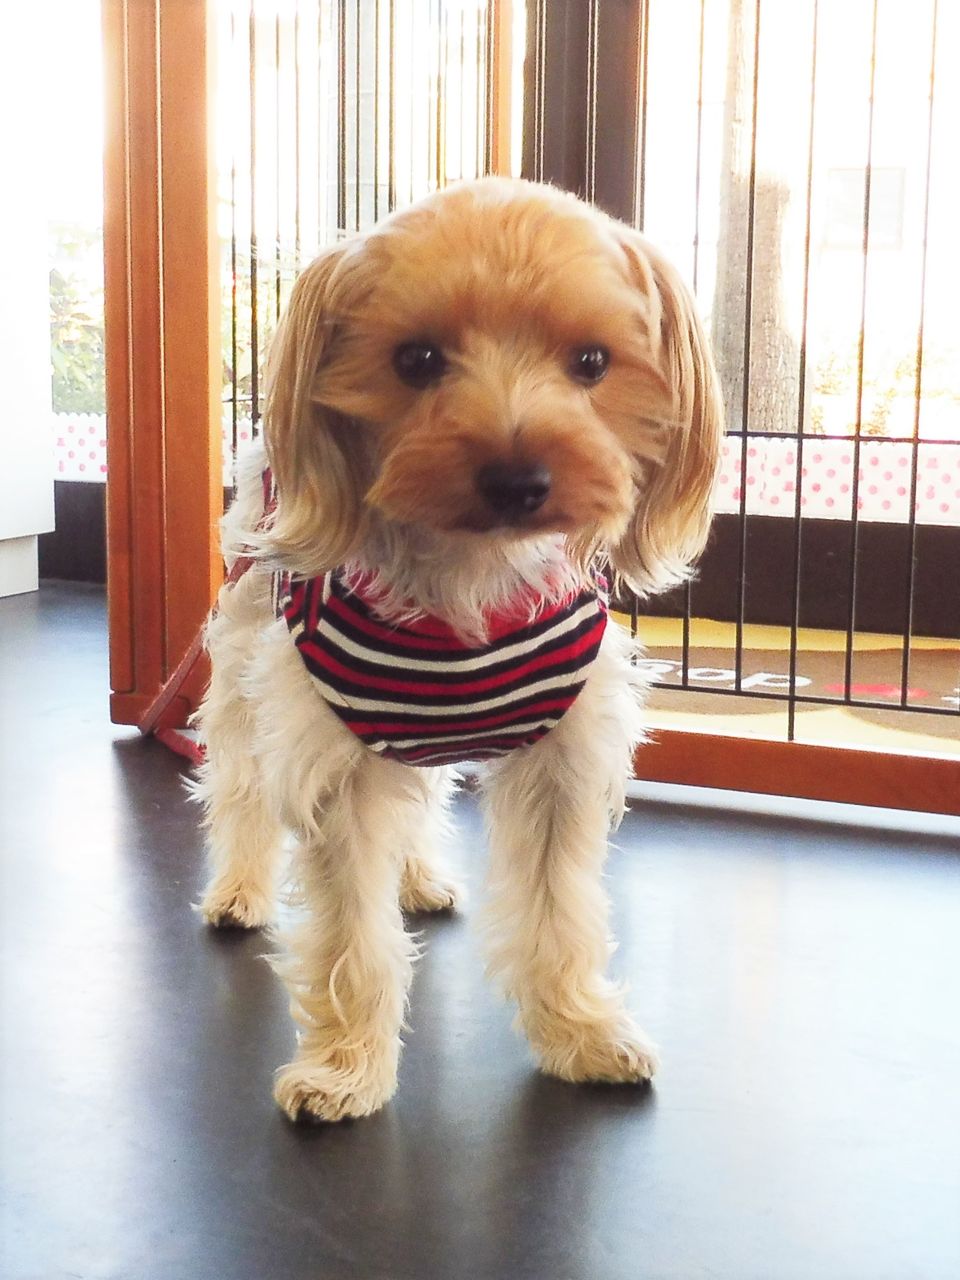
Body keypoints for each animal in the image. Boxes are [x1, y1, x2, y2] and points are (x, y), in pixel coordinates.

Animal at [194, 177, 723, 1122]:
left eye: (593, 362)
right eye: (416, 360)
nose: (517, 479)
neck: (471, 578)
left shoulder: (562, 759)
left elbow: (559, 912)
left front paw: (582, 1035)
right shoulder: (337, 755)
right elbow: (350, 933)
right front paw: (345, 1068)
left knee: (424, 791)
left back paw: (418, 877)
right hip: (247, 661)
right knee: (243, 785)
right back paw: (239, 891)